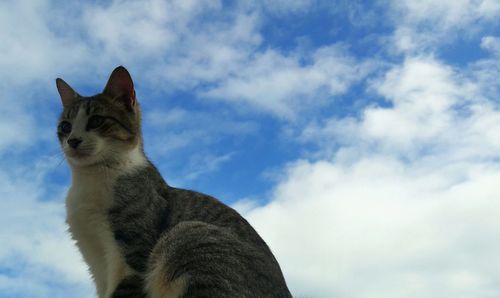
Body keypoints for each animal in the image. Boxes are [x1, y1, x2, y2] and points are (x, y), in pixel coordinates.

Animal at [56, 66, 292, 298]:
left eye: (96, 120)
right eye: (65, 126)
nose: (73, 140)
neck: (89, 179)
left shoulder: (134, 253)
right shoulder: (96, 262)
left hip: (190, 236)